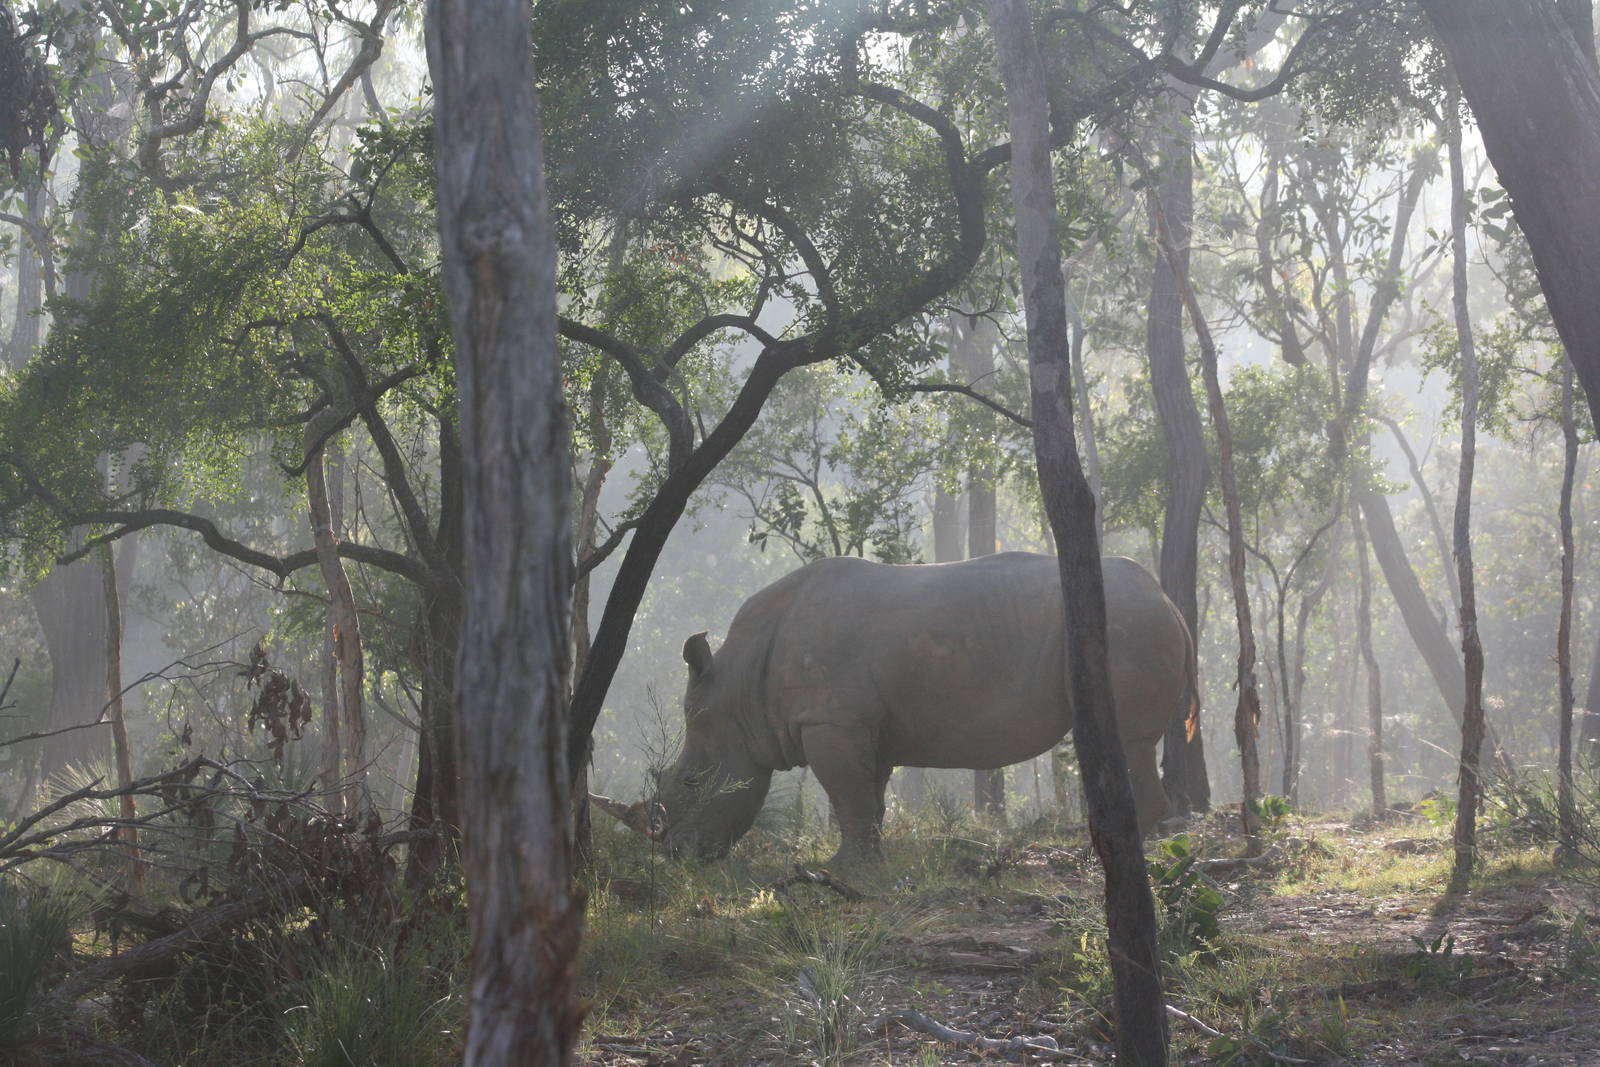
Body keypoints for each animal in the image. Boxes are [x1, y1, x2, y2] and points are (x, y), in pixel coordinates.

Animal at [594, 552, 1197, 862]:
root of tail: (1166, 597)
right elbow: (869, 798)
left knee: (1131, 742)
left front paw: (843, 871)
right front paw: (865, 863)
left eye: (692, 781)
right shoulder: (862, 725)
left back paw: (1100, 860)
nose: (678, 857)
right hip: (1125, 620)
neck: (740, 689)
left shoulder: (831, 720)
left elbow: (848, 797)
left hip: (1124, 624)